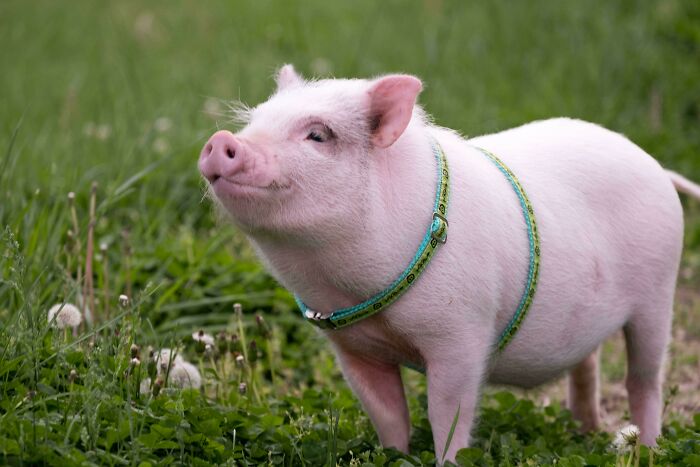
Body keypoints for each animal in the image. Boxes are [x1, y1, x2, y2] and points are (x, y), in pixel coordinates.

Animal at [198, 64, 700, 463]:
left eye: (318, 135)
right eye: (256, 121)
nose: (222, 140)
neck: (349, 287)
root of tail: (656, 167)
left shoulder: (460, 333)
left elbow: (449, 412)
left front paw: (446, 459)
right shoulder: (353, 347)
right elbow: (387, 413)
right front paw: (393, 455)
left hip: (658, 291)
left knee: (644, 380)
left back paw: (646, 447)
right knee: (588, 364)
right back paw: (587, 432)